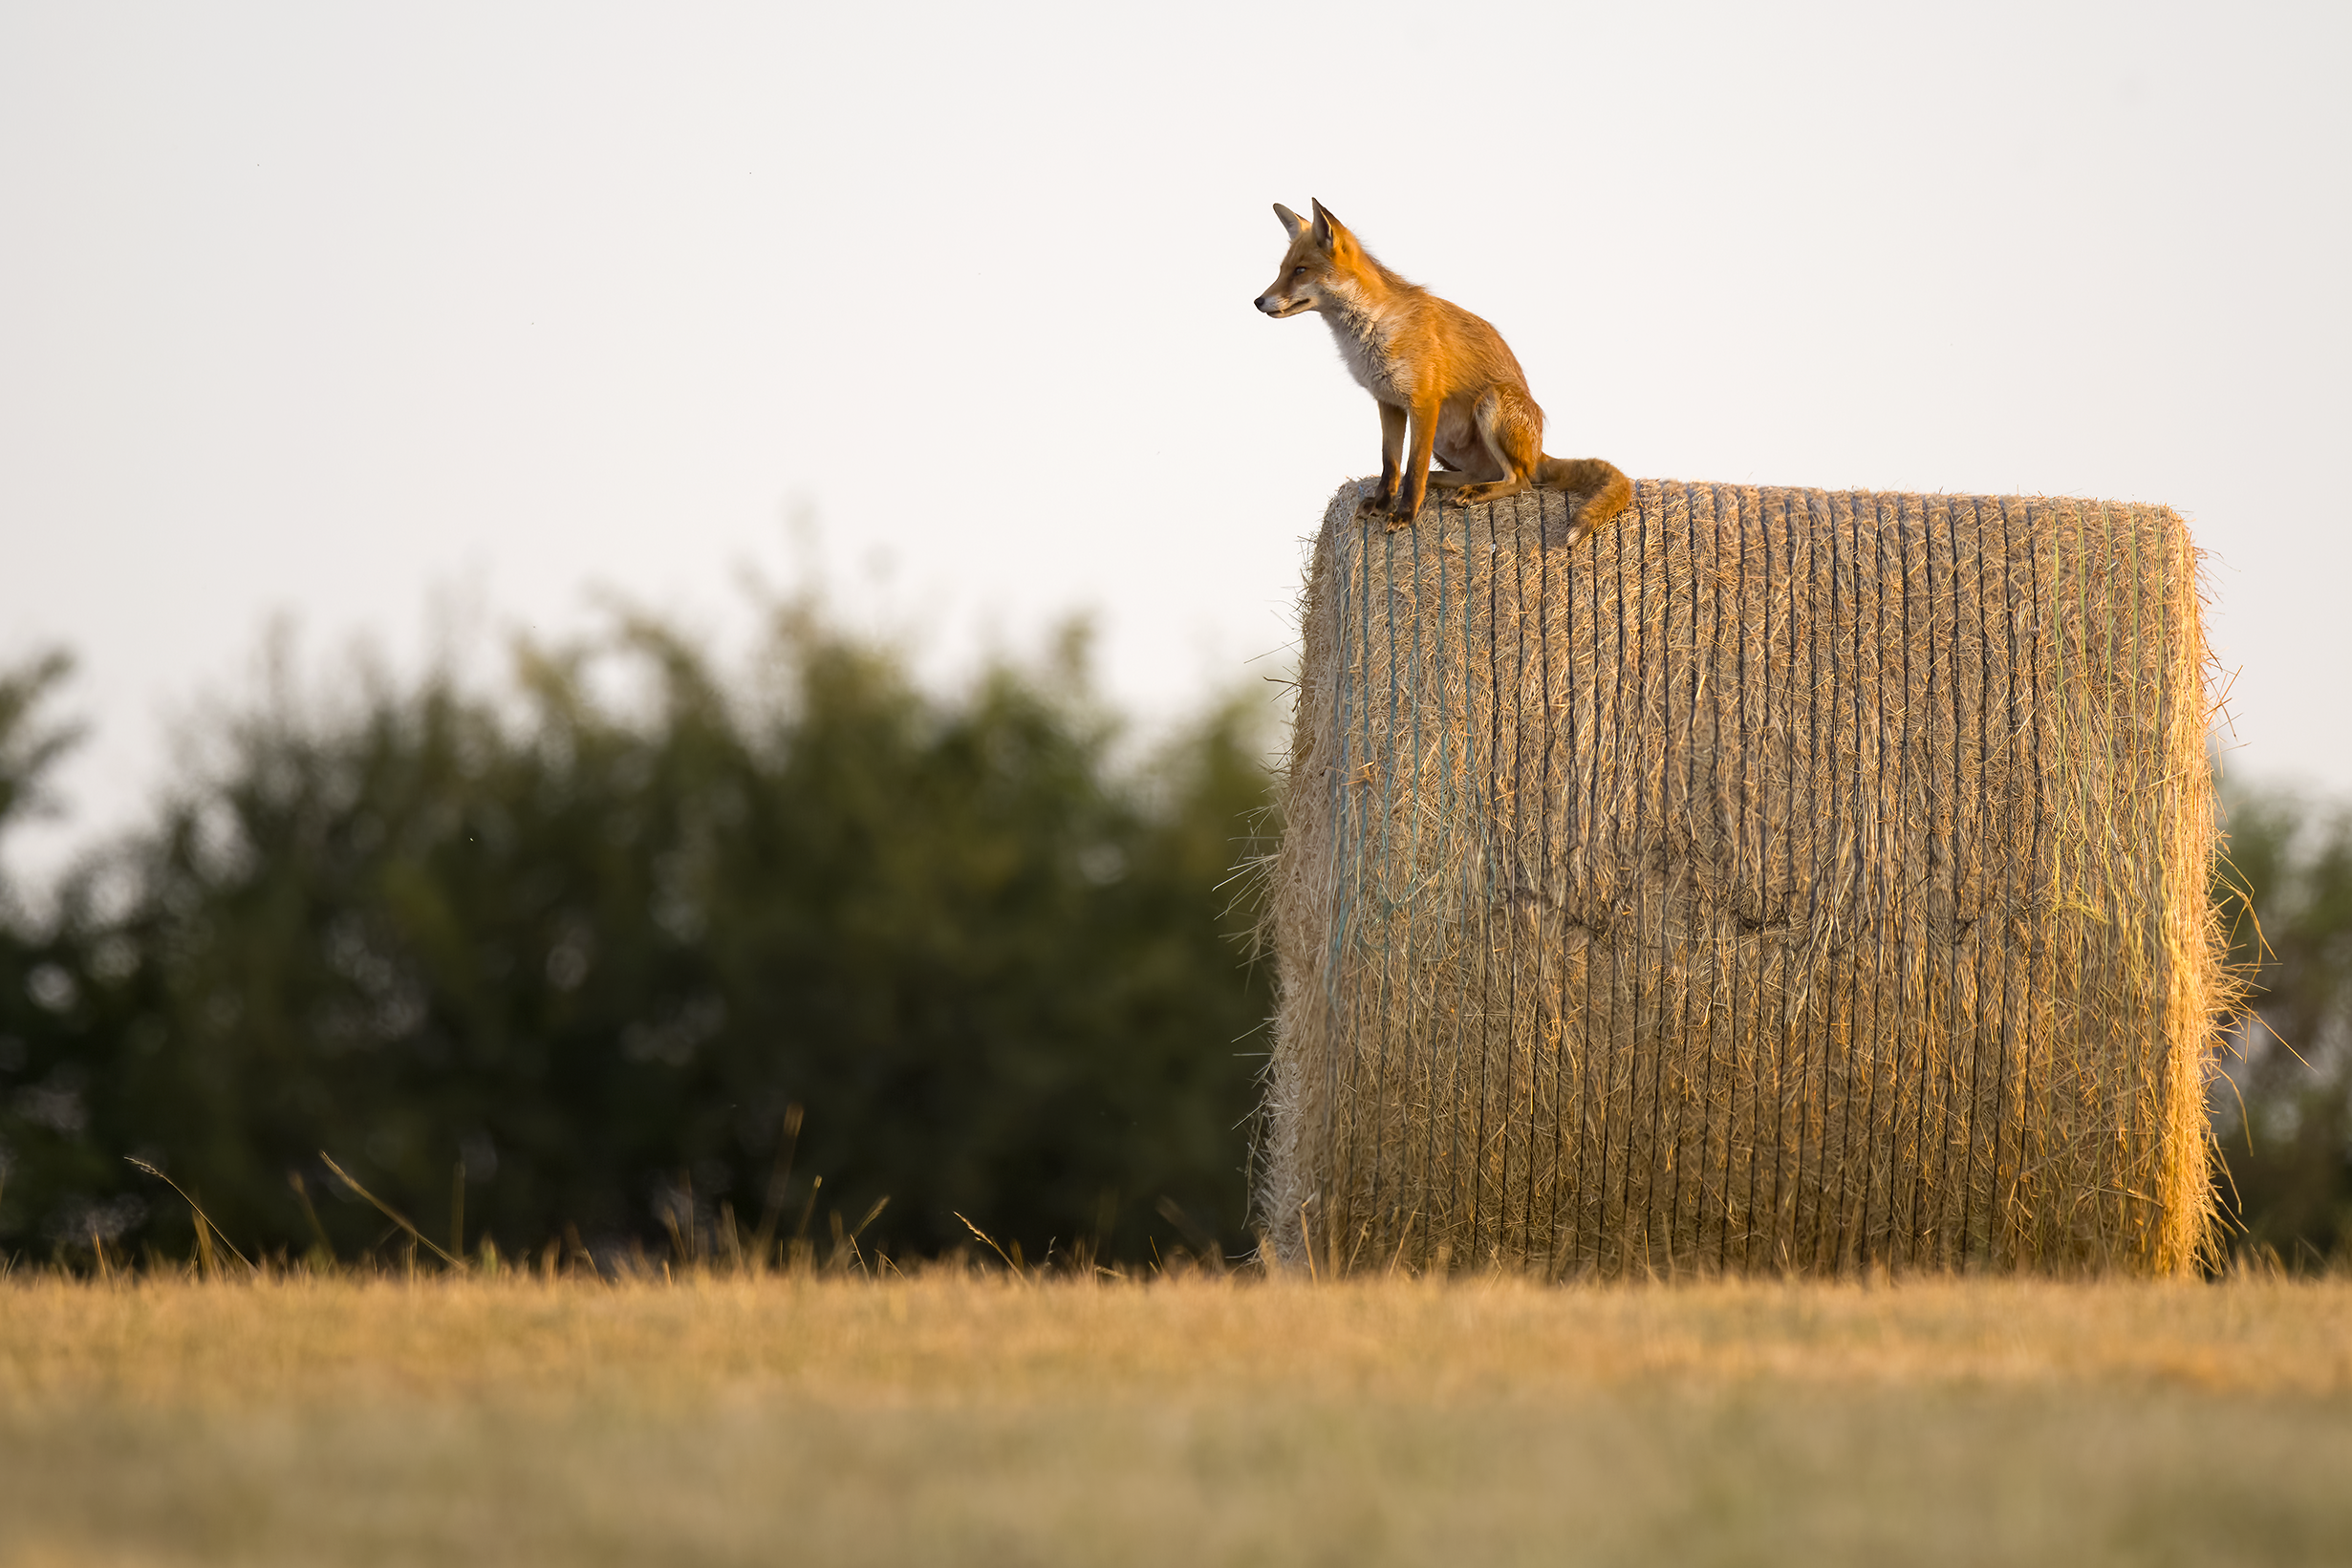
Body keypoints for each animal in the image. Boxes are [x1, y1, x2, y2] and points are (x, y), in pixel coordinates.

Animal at [1254, 199, 1631, 545]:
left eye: (1300, 270)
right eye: (1282, 269)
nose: (1257, 301)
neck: (1371, 331)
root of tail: (1539, 453)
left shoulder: (1424, 402)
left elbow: (1413, 466)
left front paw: (1405, 514)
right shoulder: (1388, 402)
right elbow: (1392, 464)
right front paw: (1382, 503)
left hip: (1490, 403)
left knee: (1519, 480)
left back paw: (1475, 492)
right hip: (1447, 443)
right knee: (1477, 472)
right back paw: (1447, 483)